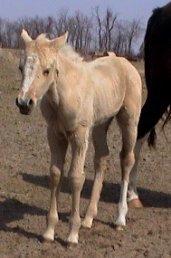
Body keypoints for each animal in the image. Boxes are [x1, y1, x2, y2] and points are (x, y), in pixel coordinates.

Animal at [16, 30, 142, 244]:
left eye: (47, 71)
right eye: (21, 67)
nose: (24, 103)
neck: (63, 94)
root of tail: (125, 62)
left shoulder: (79, 135)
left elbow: (75, 177)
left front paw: (72, 235)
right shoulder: (54, 135)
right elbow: (55, 174)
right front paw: (49, 232)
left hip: (129, 121)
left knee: (127, 159)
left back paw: (120, 218)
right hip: (100, 124)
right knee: (102, 158)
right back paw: (88, 218)